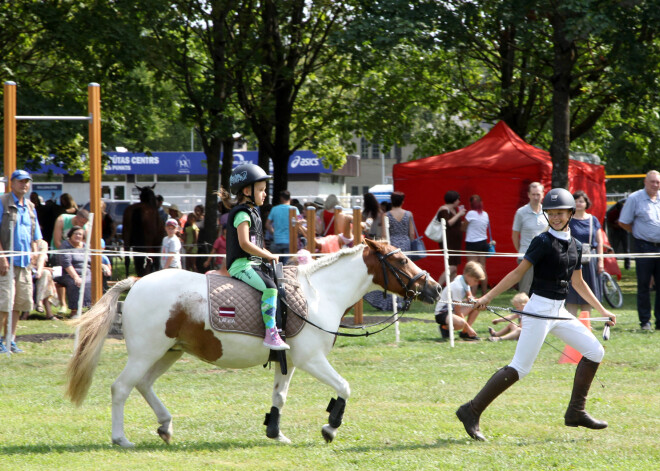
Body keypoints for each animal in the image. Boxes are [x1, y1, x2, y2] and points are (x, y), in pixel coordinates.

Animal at [65, 242, 438, 448]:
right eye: (401, 260)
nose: (433, 288)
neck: (319, 294)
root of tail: (137, 282)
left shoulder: (289, 362)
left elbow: (279, 397)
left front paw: (275, 432)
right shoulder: (311, 360)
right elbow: (344, 387)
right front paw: (330, 427)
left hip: (168, 352)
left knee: (143, 385)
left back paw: (166, 425)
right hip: (146, 352)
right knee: (121, 388)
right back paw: (121, 438)